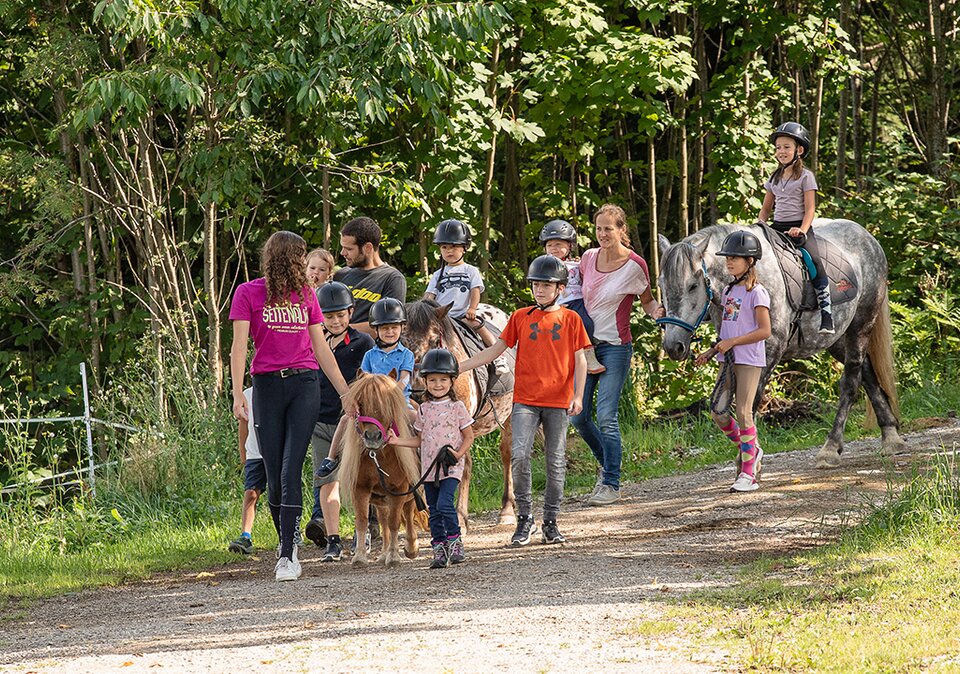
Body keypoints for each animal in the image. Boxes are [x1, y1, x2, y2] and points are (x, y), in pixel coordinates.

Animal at [340, 372, 426, 568]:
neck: (378, 456)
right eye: (360, 402)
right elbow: (362, 521)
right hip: (381, 500)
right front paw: (360, 556)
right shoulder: (360, 489)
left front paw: (394, 556)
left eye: (387, 403)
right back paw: (384, 552)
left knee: (406, 514)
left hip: (408, 494)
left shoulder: (399, 490)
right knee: (384, 520)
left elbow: (395, 522)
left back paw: (410, 547)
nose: (373, 436)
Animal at [660, 220, 908, 468]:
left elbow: (749, 405)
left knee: (851, 381)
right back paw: (891, 435)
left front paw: (749, 459)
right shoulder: (731, 352)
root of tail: (868, 237)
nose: (674, 346)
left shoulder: (769, 352)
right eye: (662, 285)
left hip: (861, 325)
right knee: (867, 372)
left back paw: (831, 448)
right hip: (837, 339)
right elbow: (721, 409)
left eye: (693, 286)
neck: (748, 281)